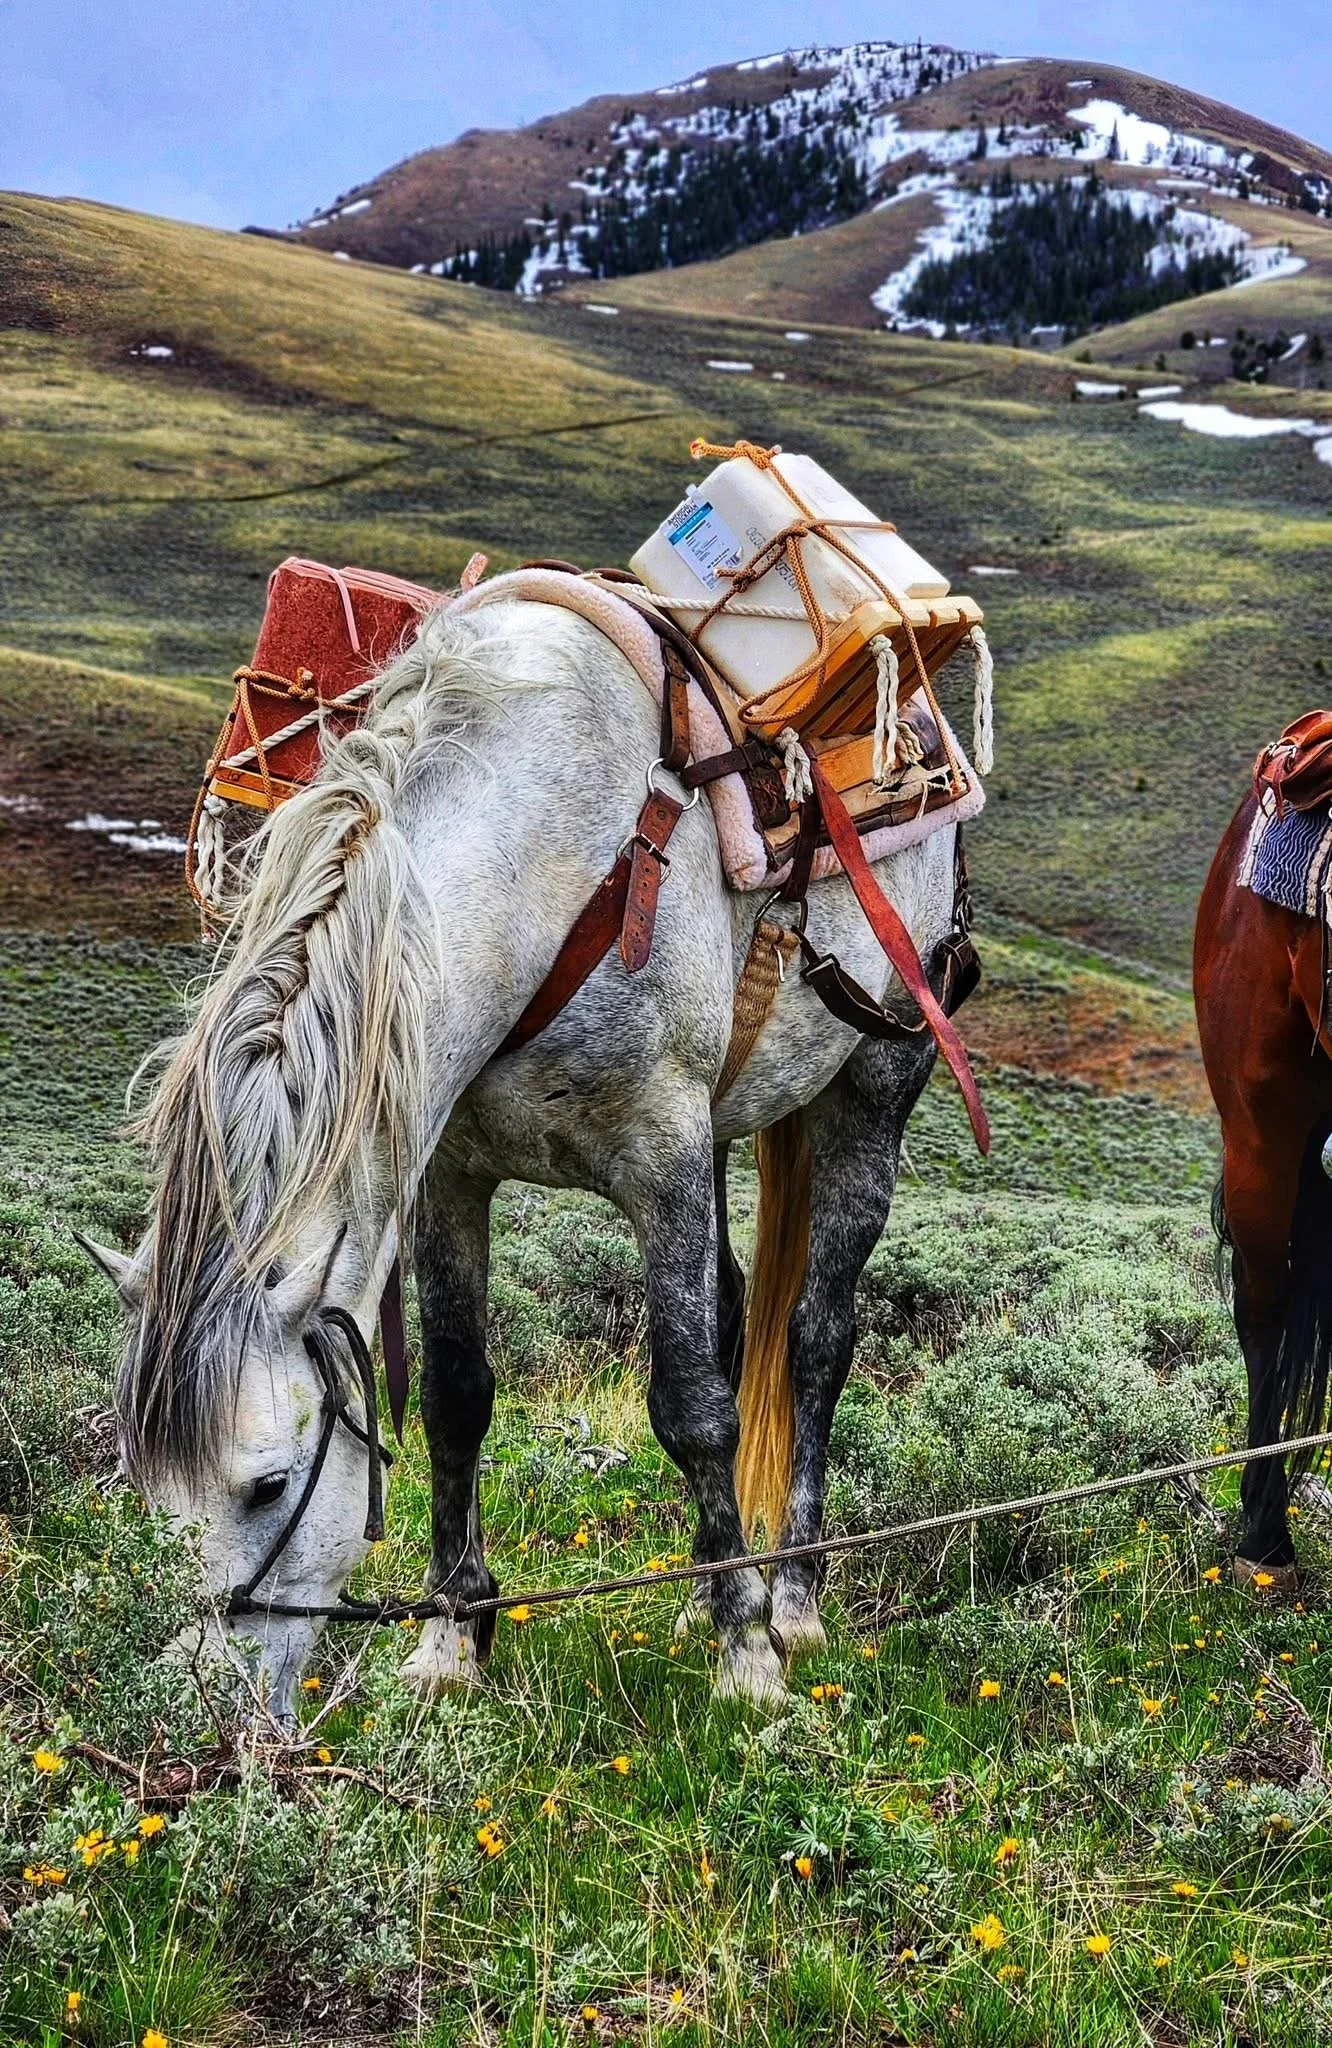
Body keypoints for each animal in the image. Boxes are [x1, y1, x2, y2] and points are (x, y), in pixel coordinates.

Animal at [79, 596, 969, 1720]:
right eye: (148, 1483)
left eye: (270, 1482)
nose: (203, 1711)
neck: (536, 868)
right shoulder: (449, 1173)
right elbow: (458, 1394)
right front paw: (452, 1637)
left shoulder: (664, 1154)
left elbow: (694, 1407)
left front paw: (748, 1659)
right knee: (735, 1312)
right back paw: (705, 1592)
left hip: (873, 1089)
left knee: (816, 1338)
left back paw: (794, 1598)